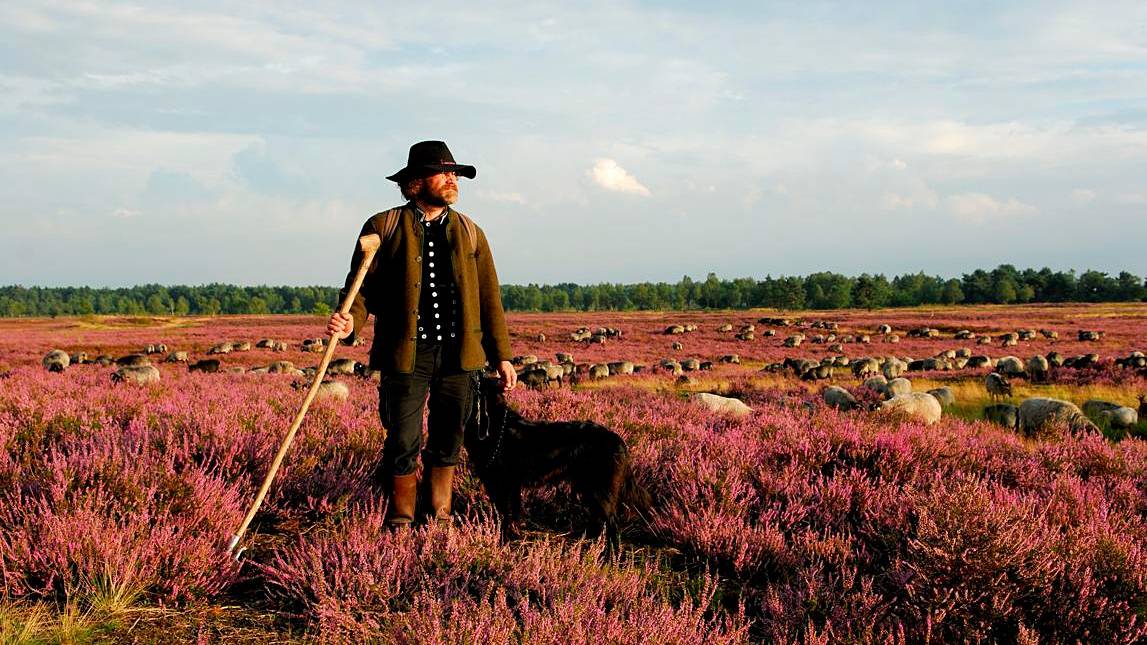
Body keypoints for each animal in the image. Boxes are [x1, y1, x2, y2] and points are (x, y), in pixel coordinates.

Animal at [465, 374, 646, 550]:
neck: (493, 425)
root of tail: (618, 439)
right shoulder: (507, 485)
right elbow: (510, 513)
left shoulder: (504, 483)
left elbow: (505, 515)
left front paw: (503, 542)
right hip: (588, 486)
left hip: (600, 488)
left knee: (612, 522)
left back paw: (610, 555)